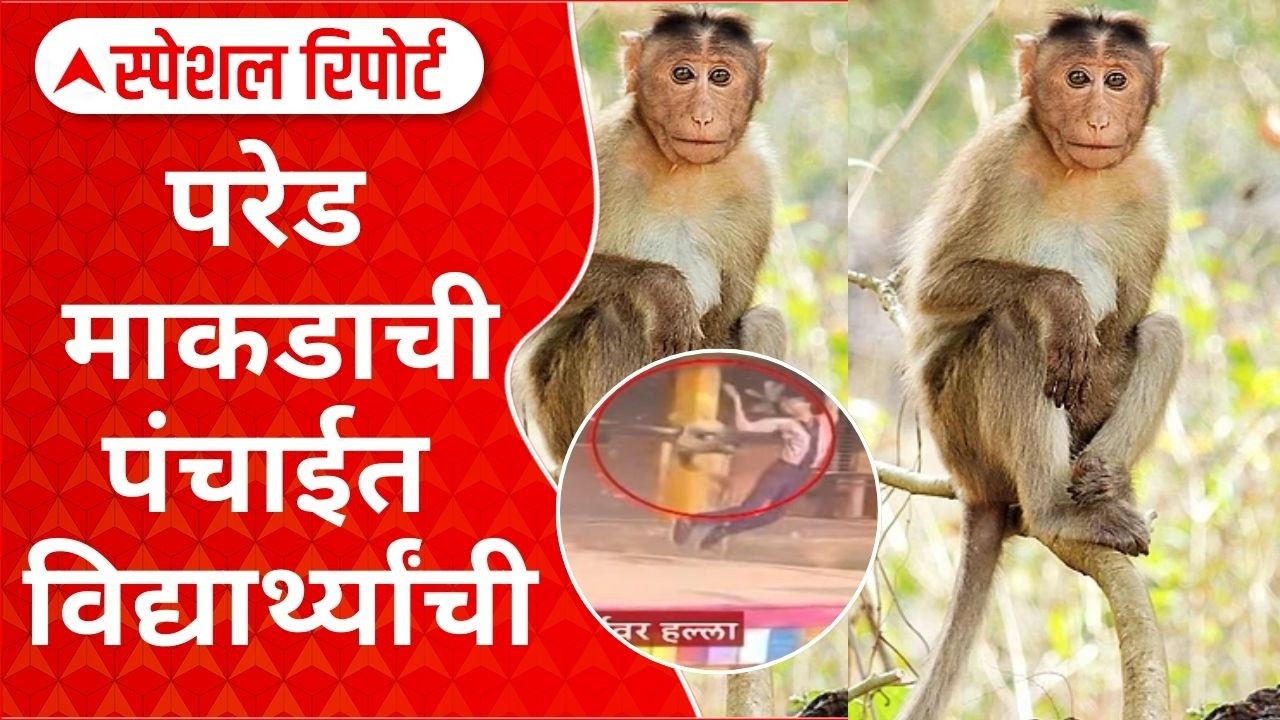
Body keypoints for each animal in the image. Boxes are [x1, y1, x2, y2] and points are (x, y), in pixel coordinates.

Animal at [512, 7, 787, 474]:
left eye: (720, 76)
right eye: (681, 74)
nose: (702, 116)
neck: (684, 171)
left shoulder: (756, 181)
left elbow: (726, 321)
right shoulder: (604, 150)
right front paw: (665, 288)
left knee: (763, 321)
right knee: (618, 311)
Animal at [897, 10, 1184, 718]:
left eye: (1117, 79)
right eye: (1077, 78)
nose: (1099, 118)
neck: (1079, 175)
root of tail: (972, 486)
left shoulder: (1152, 180)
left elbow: (1129, 320)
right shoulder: (995, 159)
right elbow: (934, 288)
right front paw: (1062, 297)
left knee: (1161, 332)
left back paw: (1103, 483)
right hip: (962, 432)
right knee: (1015, 329)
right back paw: (1057, 508)